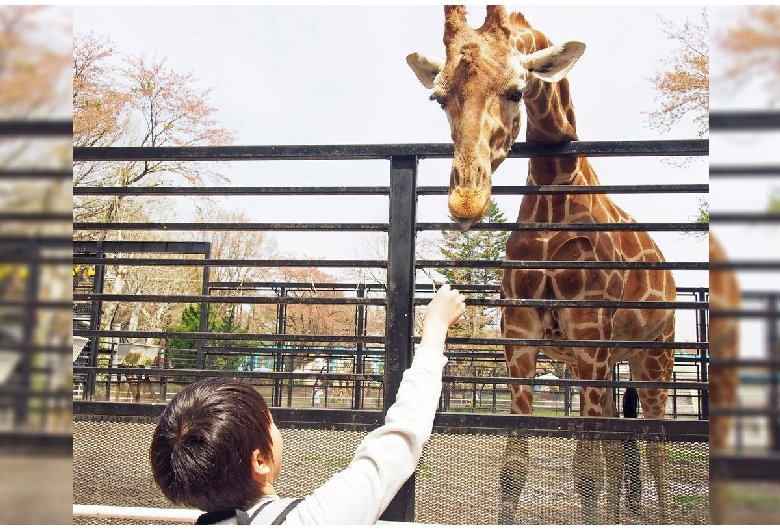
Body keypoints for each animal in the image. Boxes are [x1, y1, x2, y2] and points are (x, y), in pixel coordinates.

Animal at [408, 6, 676, 520]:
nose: (467, 202)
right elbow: (515, 467)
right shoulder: (521, 332)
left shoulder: (589, 332)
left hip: (655, 355)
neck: (555, 190)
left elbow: (585, 470)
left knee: (655, 447)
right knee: (616, 446)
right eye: (437, 98)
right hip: (608, 363)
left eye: (517, 89)